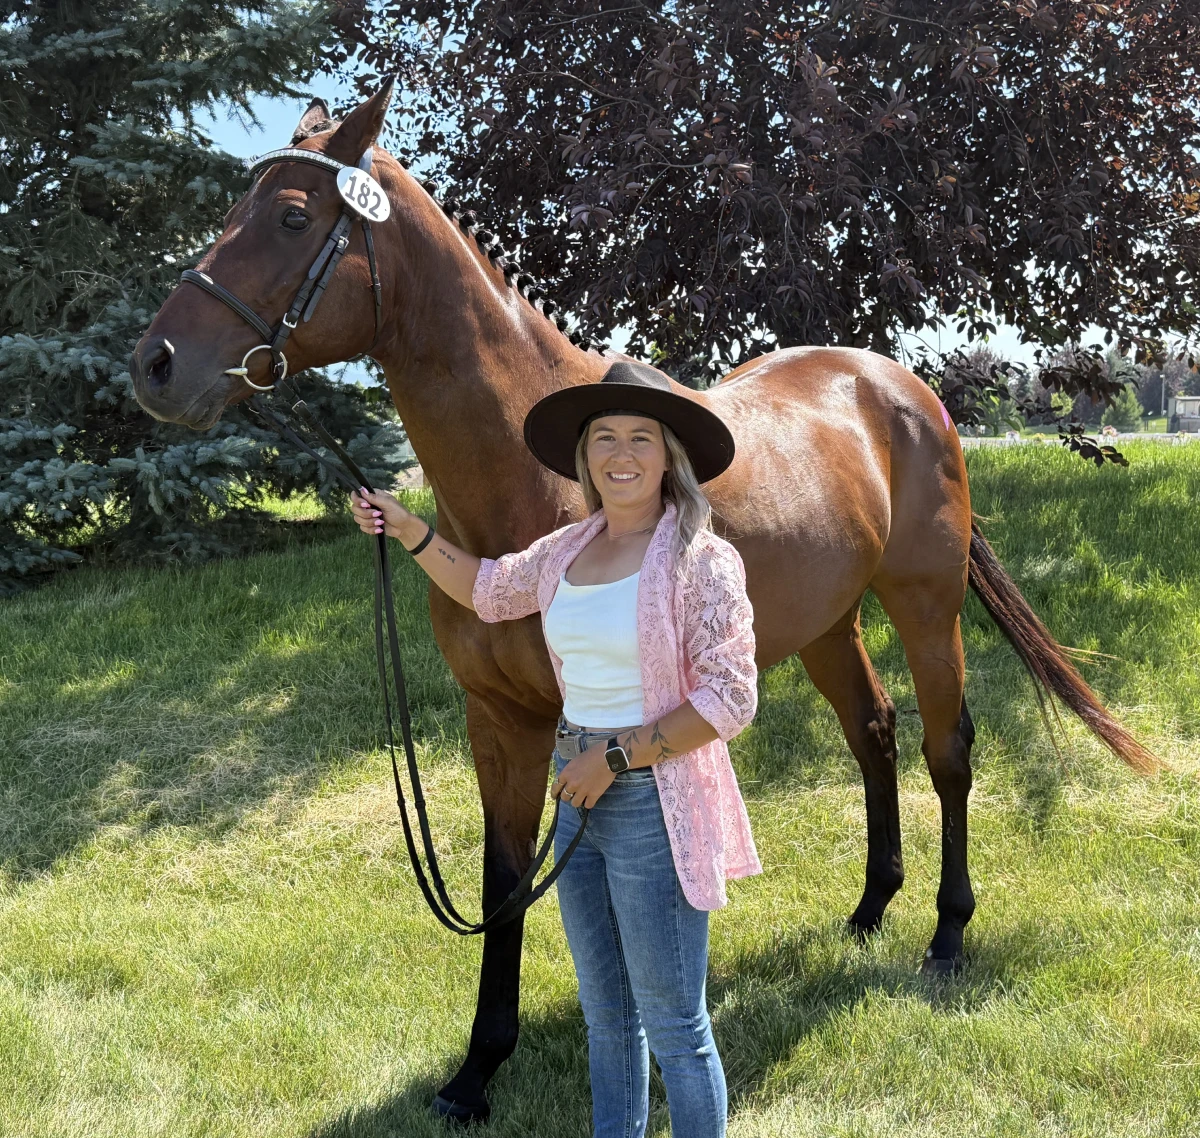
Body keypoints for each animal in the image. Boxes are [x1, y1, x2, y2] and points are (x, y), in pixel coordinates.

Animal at [129, 82, 1153, 1125]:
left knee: (949, 751)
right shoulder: (498, 719)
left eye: (293, 218)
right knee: (874, 731)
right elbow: (504, 880)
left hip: (924, 602)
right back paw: (871, 907)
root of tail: (900, 385)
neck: (532, 483)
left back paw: (946, 936)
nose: (154, 364)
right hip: (825, 623)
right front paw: (475, 1074)